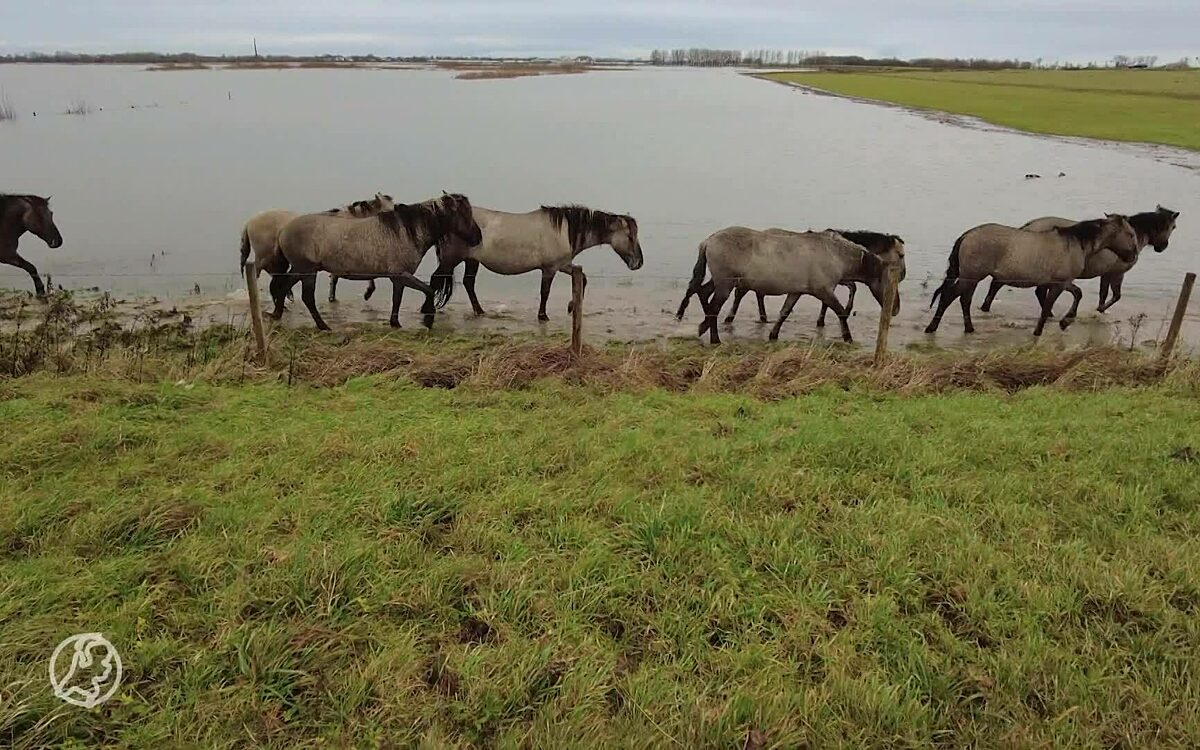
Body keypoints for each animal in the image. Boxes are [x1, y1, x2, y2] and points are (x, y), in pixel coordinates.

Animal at [273, 193, 482, 331]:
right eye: (465, 214)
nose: (478, 238)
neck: (405, 231)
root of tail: (283, 230)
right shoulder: (401, 274)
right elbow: (428, 290)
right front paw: (428, 320)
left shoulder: (398, 278)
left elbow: (397, 299)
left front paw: (395, 323)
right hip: (307, 270)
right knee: (307, 297)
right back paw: (323, 325)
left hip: (300, 269)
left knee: (283, 287)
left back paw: (276, 315)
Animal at [427, 205, 643, 321]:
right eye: (630, 237)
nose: (638, 263)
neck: (564, 231)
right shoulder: (550, 268)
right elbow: (545, 292)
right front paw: (543, 315)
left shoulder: (563, 265)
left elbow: (583, 278)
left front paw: (571, 306)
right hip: (451, 260)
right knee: (435, 280)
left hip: (472, 260)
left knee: (468, 283)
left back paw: (480, 311)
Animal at [688, 227, 900, 345]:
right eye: (888, 283)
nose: (895, 309)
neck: (834, 254)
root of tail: (709, 241)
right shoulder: (824, 291)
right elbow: (840, 311)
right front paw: (848, 337)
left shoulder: (796, 292)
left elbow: (784, 312)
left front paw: (773, 335)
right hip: (725, 284)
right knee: (713, 308)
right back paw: (714, 339)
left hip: (722, 283)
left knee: (704, 296)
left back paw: (704, 329)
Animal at [925, 214, 1139, 337]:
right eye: (1130, 234)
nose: (1133, 256)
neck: (1074, 243)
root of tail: (967, 235)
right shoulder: (1059, 284)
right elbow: (1049, 306)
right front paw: (1043, 330)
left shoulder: (1062, 282)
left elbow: (1076, 294)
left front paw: (1065, 321)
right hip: (971, 276)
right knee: (949, 297)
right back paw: (932, 328)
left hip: (971, 278)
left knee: (964, 300)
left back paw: (968, 329)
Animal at [977, 206, 1180, 315]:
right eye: (1173, 227)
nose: (1162, 247)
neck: (1133, 235)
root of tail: (1030, 226)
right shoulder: (1117, 273)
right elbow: (1116, 296)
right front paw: (1100, 310)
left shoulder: (1106, 274)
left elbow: (1103, 293)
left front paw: (1099, 309)